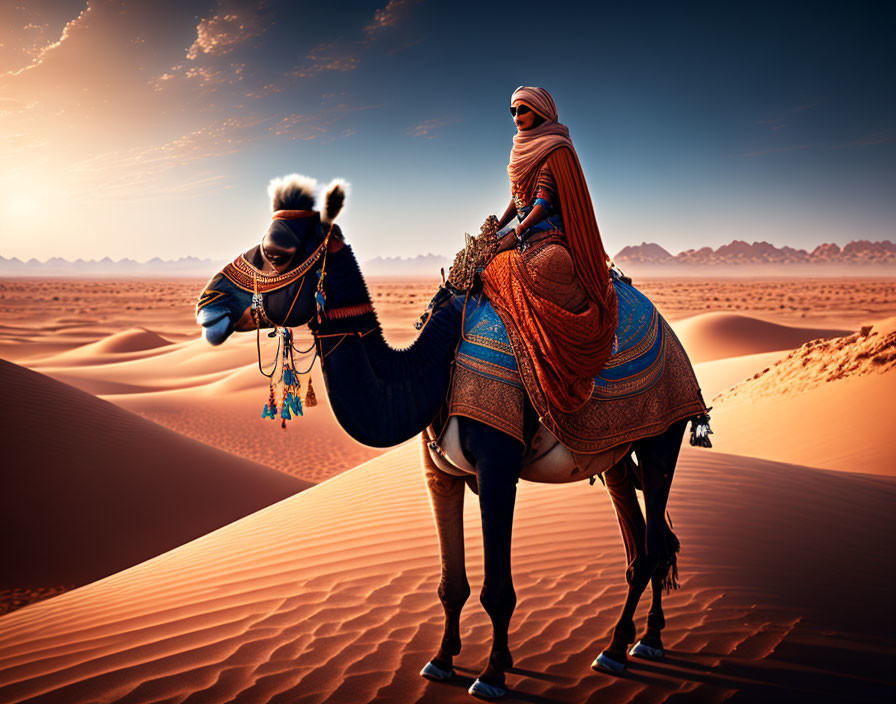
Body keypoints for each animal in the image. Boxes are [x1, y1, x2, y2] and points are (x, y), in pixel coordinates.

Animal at [196, 176, 708, 700]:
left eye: (275, 252)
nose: (208, 302)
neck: (432, 365)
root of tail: (666, 328)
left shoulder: (499, 468)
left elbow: (497, 591)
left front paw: (492, 674)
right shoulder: (438, 472)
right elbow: (451, 585)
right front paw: (442, 661)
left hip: (661, 438)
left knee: (653, 541)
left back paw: (632, 646)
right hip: (614, 457)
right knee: (644, 545)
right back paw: (631, 641)